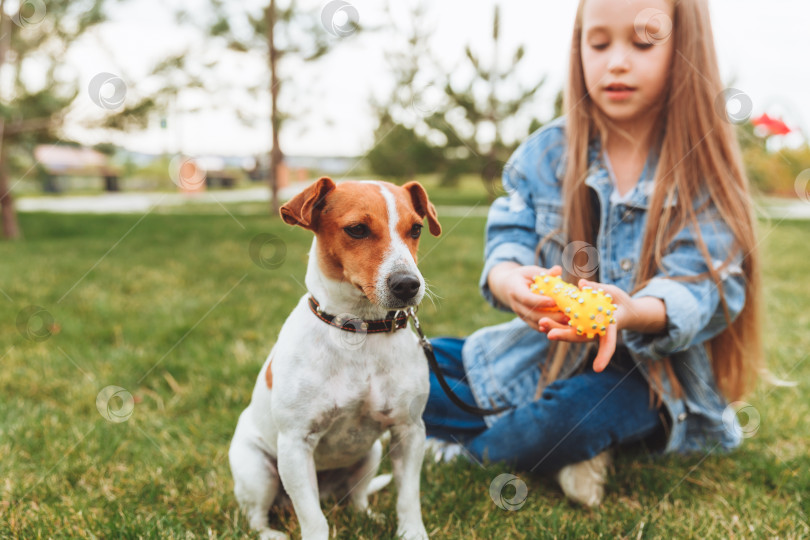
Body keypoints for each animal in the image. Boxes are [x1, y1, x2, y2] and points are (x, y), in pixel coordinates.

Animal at [227, 178, 442, 540]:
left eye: (416, 229)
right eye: (357, 229)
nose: (408, 284)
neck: (361, 330)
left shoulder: (409, 432)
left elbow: (408, 499)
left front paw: (411, 533)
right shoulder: (296, 445)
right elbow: (313, 519)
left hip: (370, 455)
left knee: (356, 498)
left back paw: (368, 516)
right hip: (259, 471)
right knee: (256, 515)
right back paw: (271, 533)